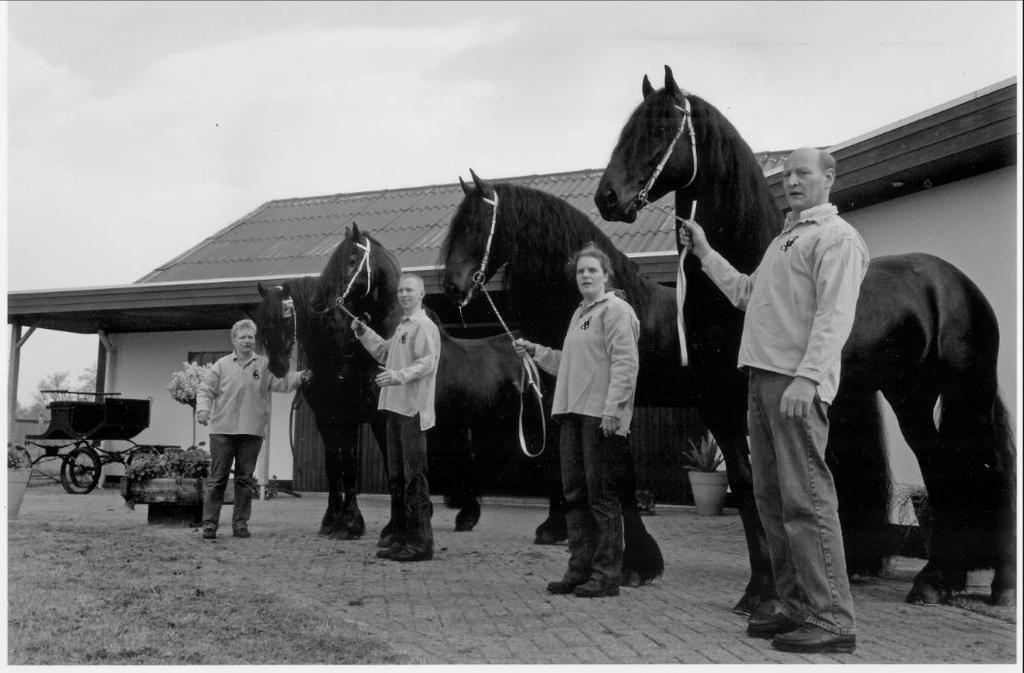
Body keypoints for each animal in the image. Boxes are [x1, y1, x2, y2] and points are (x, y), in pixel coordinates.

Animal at [593, 65, 1015, 606]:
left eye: (662, 126)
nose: (608, 198)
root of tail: (957, 282)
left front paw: (775, 594)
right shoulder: (720, 406)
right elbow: (747, 487)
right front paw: (758, 589)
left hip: (969, 390)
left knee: (989, 465)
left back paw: (997, 586)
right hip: (911, 396)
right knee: (940, 466)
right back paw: (934, 580)